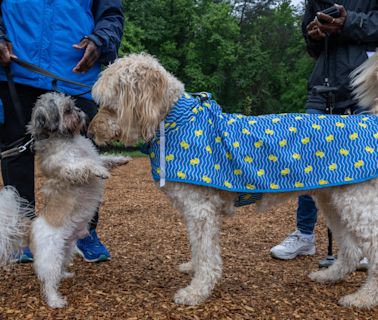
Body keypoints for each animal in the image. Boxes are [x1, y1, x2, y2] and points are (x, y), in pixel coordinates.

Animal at [88, 52, 378, 308]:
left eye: (109, 105)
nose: (90, 133)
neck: (176, 121)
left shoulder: (201, 210)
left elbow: (207, 254)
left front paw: (196, 291)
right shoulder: (196, 211)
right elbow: (199, 248)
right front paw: (193, 269)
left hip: (358, 205)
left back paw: (363, 298)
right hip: (333, 202)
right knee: (351, 250)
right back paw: (329, 276)